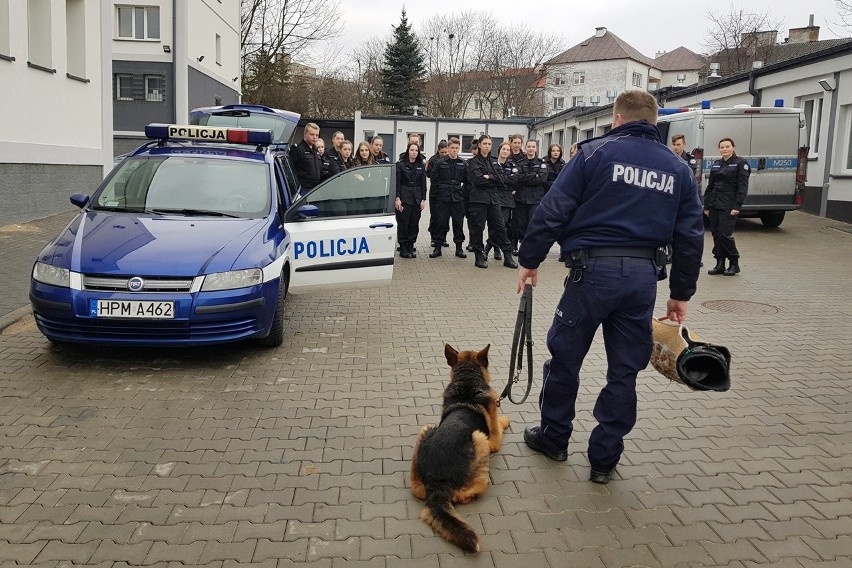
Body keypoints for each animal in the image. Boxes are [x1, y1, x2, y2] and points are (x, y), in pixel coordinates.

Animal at [410, 344, 510, 552]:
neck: (467, 381)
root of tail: (438, 482)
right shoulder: (493, 440)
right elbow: (499, 423)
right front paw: (506, 420)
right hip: (479, 439)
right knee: (467, 493)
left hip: (426, 428)